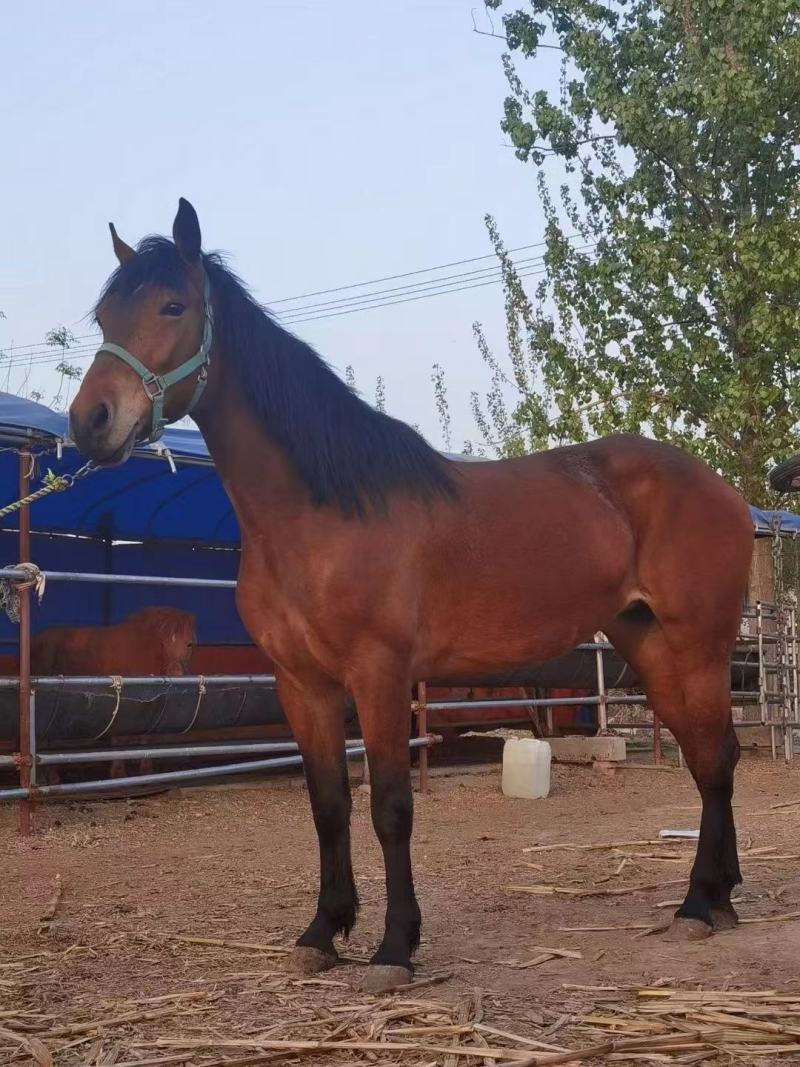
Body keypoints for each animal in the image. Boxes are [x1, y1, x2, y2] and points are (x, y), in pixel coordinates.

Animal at [69, 199, 754, 992]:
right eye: (105, 316)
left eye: (172, 306)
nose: (91, 421)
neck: (321, 512)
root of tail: (724, 491)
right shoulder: (301, 683)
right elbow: (328, 805)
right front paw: (323, 931)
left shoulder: (381, 674)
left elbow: (390, 808)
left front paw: (395, 946)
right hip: (650, 646)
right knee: (709, 754)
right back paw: (717, 896)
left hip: (697, 643)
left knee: (716, 758)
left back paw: (700, 905)